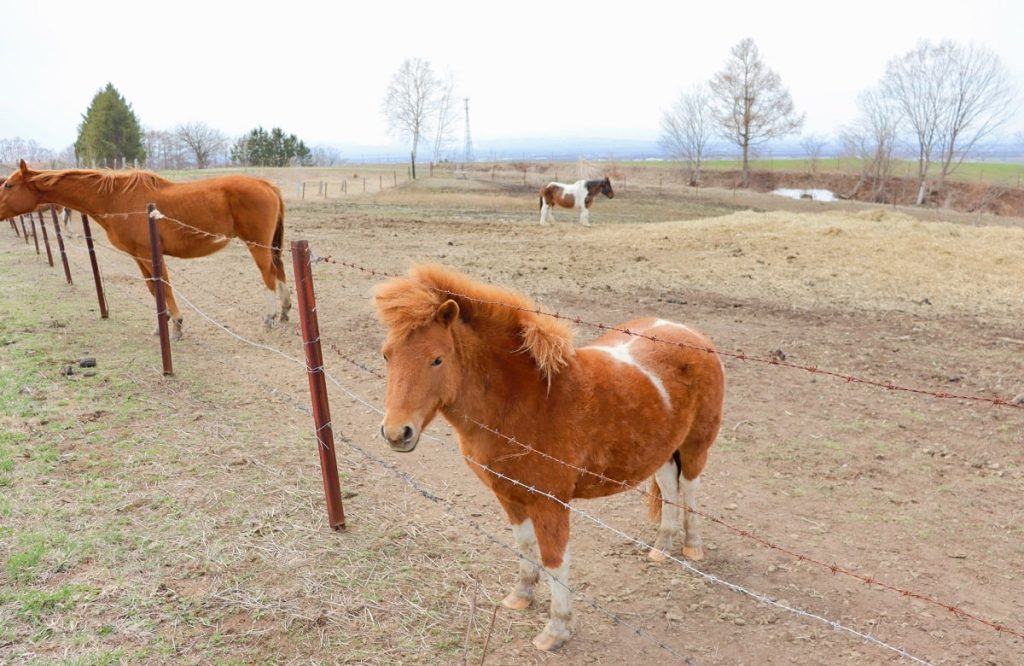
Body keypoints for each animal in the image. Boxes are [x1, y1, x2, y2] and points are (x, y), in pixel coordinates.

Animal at [1, 159, 288, 338]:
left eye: (9, 185)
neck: (115, 198)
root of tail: (266, 184)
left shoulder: (150, 255)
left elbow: (163, 286)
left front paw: (176, 326)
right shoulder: (138, 257)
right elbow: (153, 287)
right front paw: (163, 325)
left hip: (257, 245)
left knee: (269, 274)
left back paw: (270, 318)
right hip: (270, 245)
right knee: (280, 269)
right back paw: (285, 312)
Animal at [374, 262, 720, 647]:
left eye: (437, 359)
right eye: (387, 354)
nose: (397, 433)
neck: (526, 402)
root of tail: (687, 333)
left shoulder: (550, 502)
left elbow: (555, 560)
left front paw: (556, 630)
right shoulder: (508, 495)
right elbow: (525, 545)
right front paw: (521, 596)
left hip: (695, 446)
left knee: (690, 488)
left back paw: (691, 547)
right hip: (661, 448)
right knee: (669, 486)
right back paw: (662, 546)